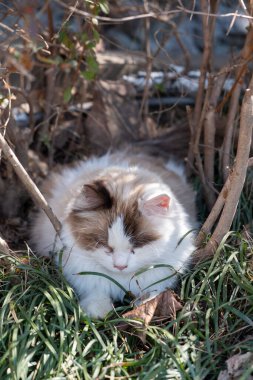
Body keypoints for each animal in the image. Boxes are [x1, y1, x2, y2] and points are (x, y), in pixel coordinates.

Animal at [31, 151, 198, 318]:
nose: (120, 266)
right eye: (103, 244)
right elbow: (95, 290)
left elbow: (154, 293)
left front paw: (145, 307)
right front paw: (98, 312)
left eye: (137, 245)